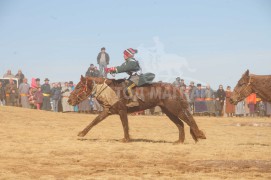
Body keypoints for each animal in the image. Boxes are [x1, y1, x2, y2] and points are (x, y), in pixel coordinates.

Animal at [68, 75, 206, 143]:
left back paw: (199, 134)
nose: (70, 100)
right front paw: (82, 133)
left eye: (79, 86)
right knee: (180, 124)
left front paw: (126, 139)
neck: (111, 90)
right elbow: (94, 121)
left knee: (189, 120)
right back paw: (179, 141)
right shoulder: (107, 111)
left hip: (175, 109)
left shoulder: (122, 111)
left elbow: (125, 125)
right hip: (168, 112)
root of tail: (175, 88)